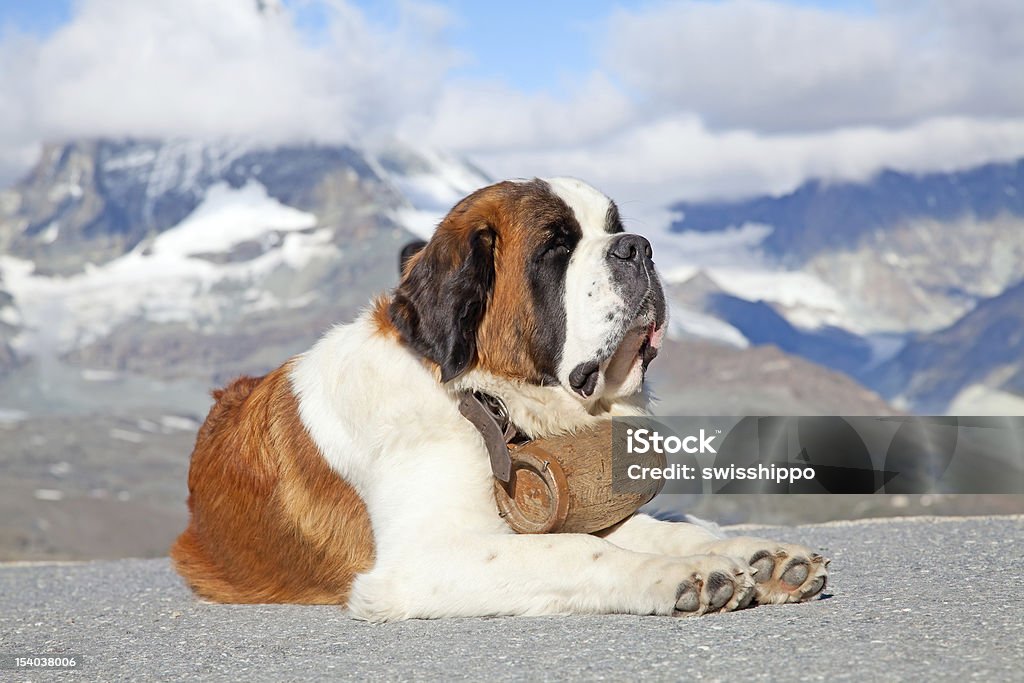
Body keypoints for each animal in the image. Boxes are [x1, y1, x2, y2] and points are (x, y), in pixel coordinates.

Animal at [172, 179, 827, 622]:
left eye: (614, 225)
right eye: (557, 248)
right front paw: (681, 575)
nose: (638, 247)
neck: (485, 400)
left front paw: (759, 557)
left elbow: (651, 528)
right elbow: (576, 550)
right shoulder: (425, 560)